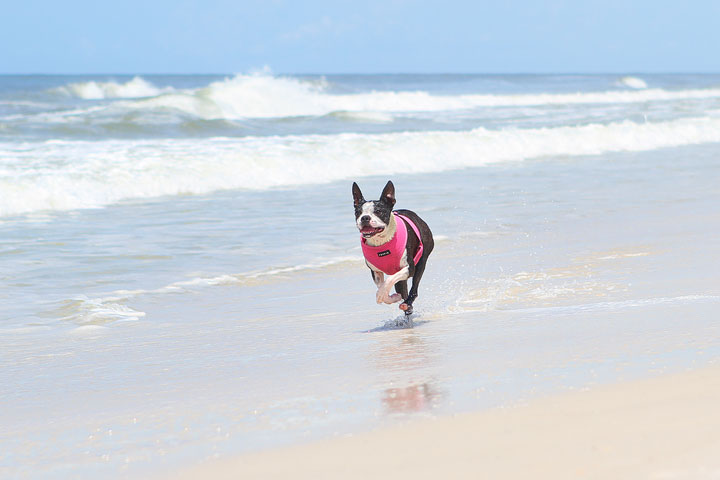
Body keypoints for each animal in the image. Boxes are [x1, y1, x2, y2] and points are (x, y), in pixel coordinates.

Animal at [352, 180, 434, 316]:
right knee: (402, 289)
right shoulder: (375, 271)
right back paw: (406, 306)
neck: (380, 242)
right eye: (358, 213)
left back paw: (407, 303)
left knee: (414, 288)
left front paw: (381, 295)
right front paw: (391, 297)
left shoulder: (408, 268)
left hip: (421, 261)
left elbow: (389, 280)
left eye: (378, 211)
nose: (365, 217)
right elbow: (382, 286)